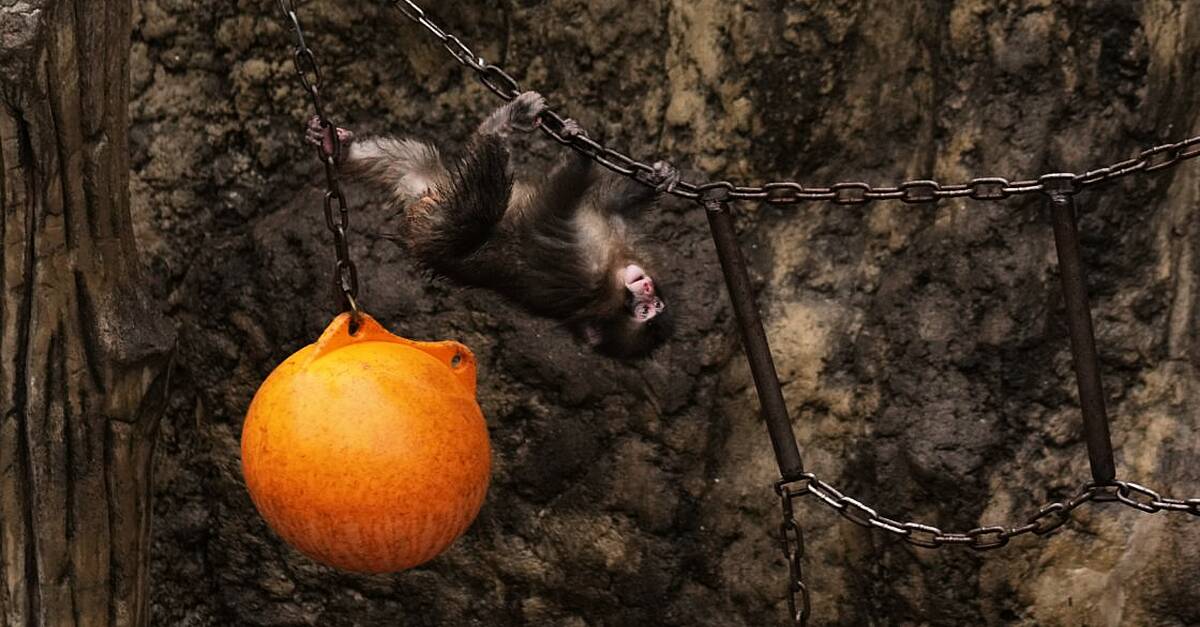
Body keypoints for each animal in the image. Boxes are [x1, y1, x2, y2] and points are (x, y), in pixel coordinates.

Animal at [305, 91, 677, 359]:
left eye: (647, 311)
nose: (648, 291)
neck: (615, 273)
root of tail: (421, 200)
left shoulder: (584, 272)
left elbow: (550, 211)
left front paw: (580, 159)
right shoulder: (613, 235)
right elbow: (612, 201)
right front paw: (659, 178)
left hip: (439, 225)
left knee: (478, 208)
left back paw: (499, 127)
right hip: (434, 185)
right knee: (411, 159)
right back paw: (338, 148)